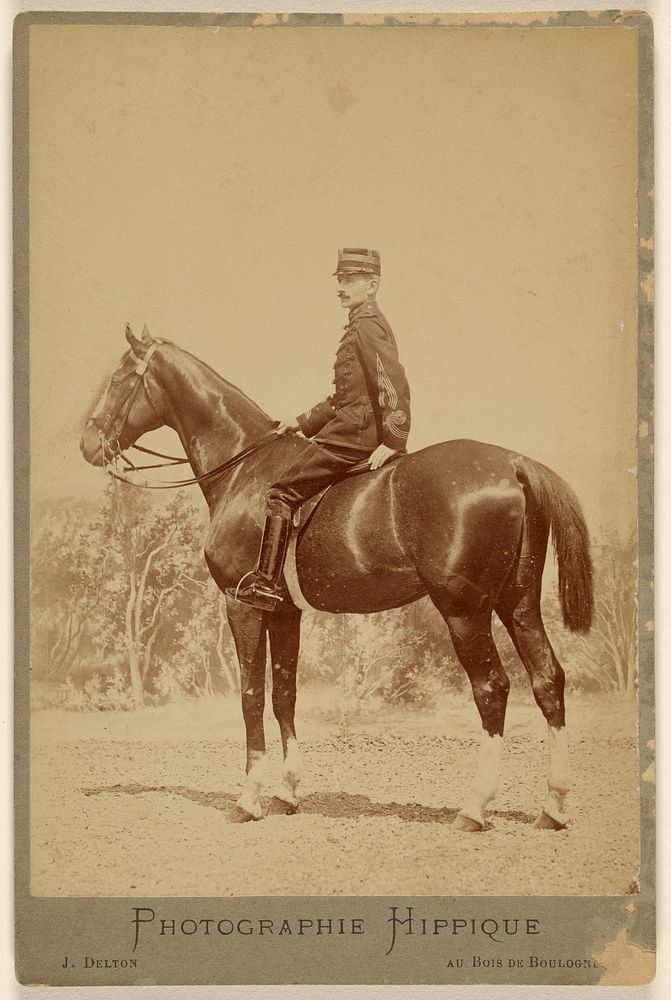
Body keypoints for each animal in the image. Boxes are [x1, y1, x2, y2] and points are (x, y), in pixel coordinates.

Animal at [80, 326, 592, 828]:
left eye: (120, 379)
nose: (87, 444)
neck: (244, 468)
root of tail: (513, 463)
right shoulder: (284, 612)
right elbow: (284, 694)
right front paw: (286, 793)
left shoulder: (240, 604)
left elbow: (250, 694)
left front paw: (249, 798)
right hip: (517, 603)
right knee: (548, 679)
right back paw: (554, 807)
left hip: (463, 610)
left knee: (492, 688)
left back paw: (474, 807)